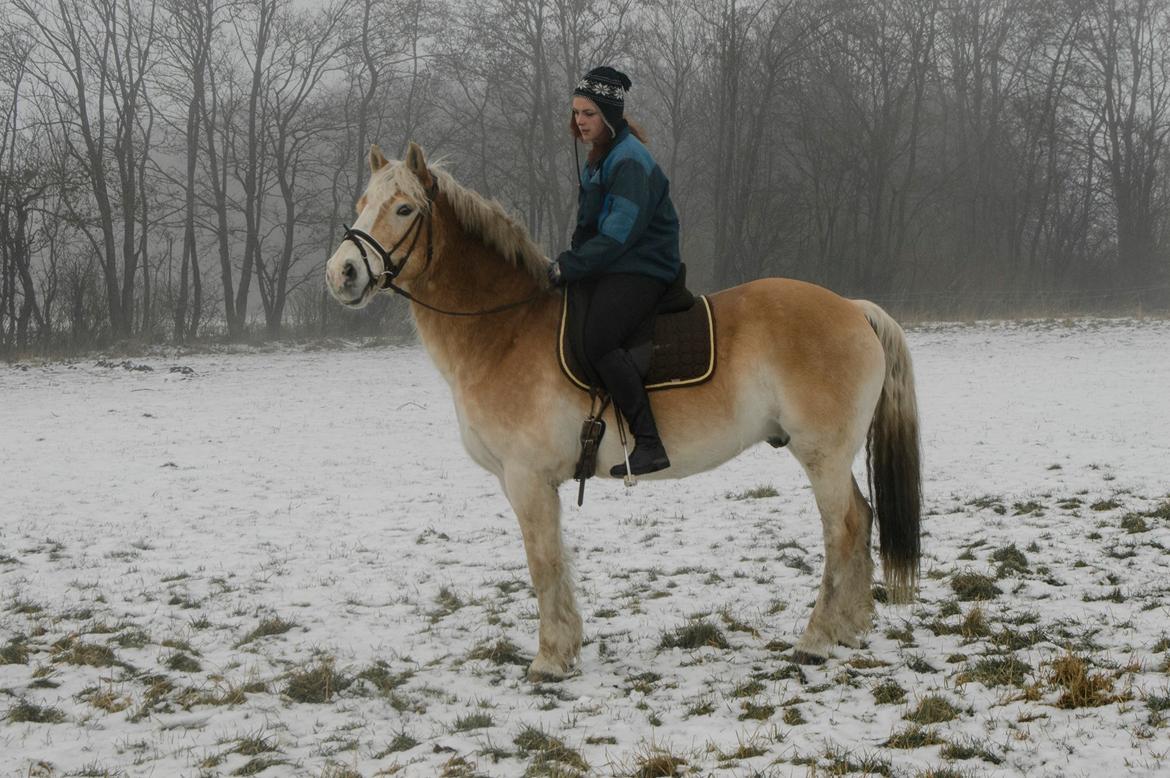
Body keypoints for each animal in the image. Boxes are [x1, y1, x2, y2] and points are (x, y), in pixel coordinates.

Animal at [325, 142, 917, 678]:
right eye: (362, 202)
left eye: (404, 209)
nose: (342, 273)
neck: (507, 329)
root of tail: (852, 309)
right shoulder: (529, 482)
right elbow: (556, 563)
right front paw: (566, 649)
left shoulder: (527, 478)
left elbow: (543, 563)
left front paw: (548, 660)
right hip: (831, 458)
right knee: (862, 519)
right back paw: (851, 629)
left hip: (822, 456)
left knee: (843, 529)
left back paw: (815, 641)